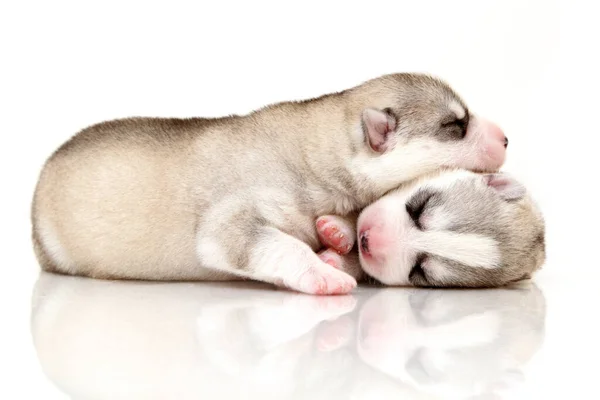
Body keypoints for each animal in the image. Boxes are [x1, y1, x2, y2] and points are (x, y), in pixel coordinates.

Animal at [29, 72, 506, 294]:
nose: (505, 138)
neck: (314, 153)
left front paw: (338, 237)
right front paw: (321, 274)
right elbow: (270, 243)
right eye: (456, 126)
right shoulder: (231, 219)